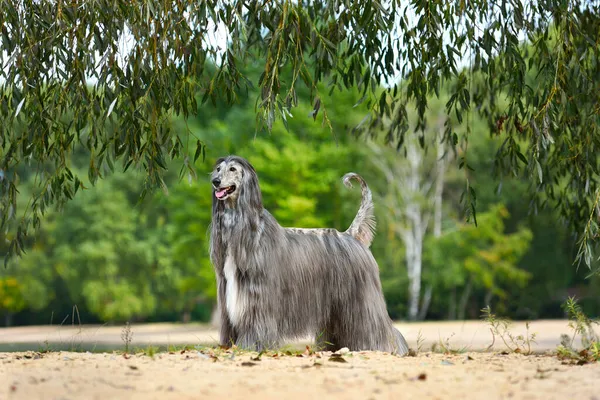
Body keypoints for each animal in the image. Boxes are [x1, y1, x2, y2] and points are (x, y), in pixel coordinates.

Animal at [209, 155, 410, 354]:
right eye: (218, 169)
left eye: (233, 169)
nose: (215, 181)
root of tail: (351, 234)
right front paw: (229, 346)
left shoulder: (257, 296)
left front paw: (250, 347)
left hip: (362, 297)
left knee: (377, 325)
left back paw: (388, 348)